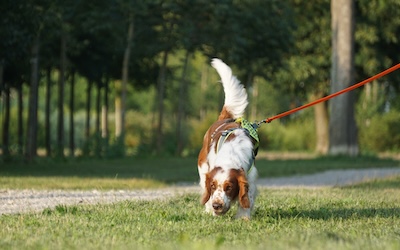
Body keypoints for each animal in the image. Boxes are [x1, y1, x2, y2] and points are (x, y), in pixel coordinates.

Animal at [197, 58, 260, 219]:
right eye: (212, 186)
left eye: (229, 187)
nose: (217, 206)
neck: (230, 156)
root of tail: (224, 118)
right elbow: (207, 195)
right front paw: (211, 211)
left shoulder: (250, 177)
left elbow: (247, 197)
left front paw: (243, 217)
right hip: (202, 166)